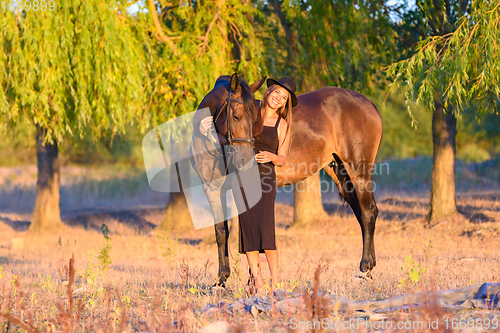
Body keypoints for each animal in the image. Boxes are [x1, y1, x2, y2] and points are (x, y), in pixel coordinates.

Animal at [189, 74, 380, 286]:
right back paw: (369, 269)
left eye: (255, 120)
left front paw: (228, 280)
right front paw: (228, 280)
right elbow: (223, 231)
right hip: (340, 173)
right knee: (361, 214)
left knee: (368, 212)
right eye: (236, 117)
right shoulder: (213, 188)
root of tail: (368, 103)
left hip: (358, 171)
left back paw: (363, 270)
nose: (246, 160)